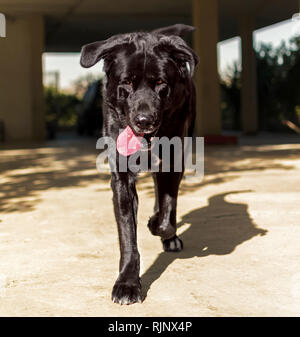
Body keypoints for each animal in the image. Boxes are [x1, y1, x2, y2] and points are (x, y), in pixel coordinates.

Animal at [79, 22, 198, 304]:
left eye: (160, 83)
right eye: (126, 82)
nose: (144, 120)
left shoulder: (173, 164)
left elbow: (167, 216)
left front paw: (157, 225)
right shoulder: (121, 180)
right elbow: (127, 237)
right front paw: (127, 283)